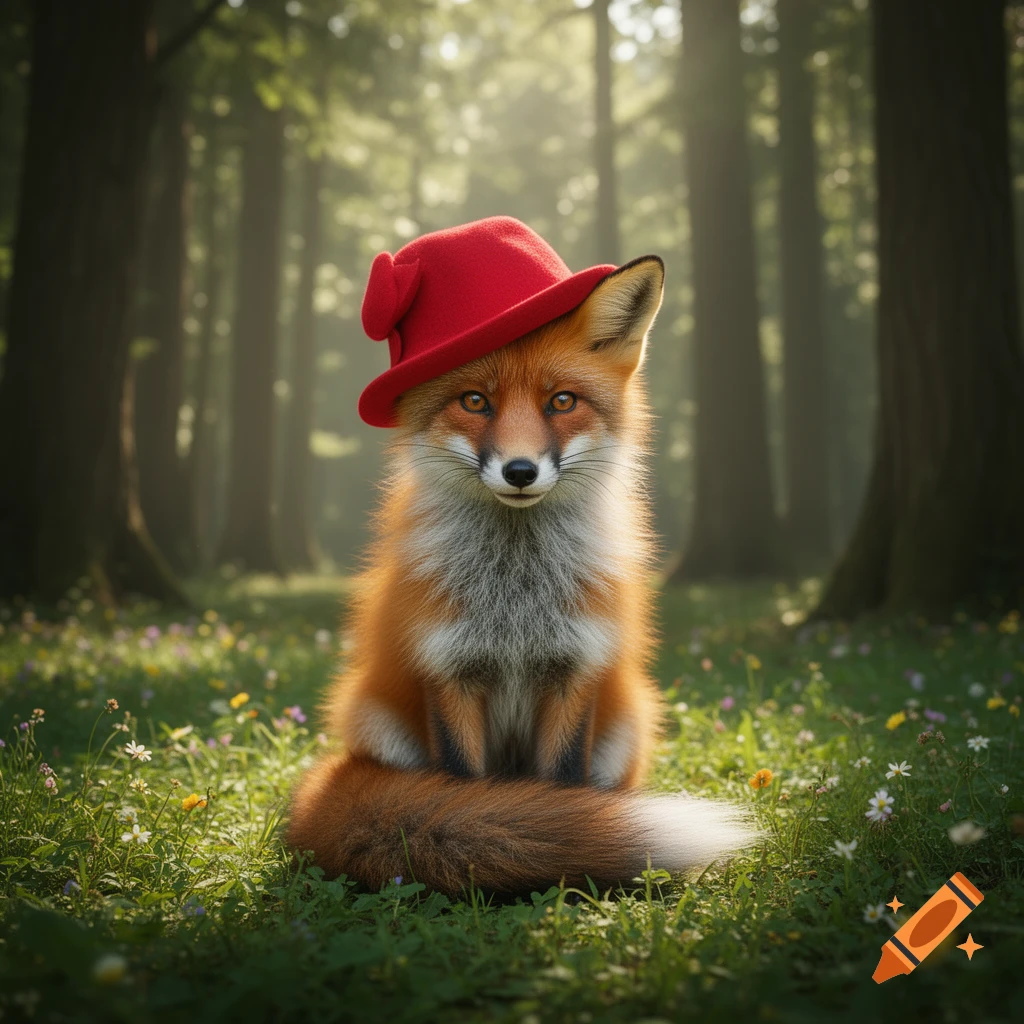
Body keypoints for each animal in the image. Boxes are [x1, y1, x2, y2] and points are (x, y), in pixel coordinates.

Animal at [287, 254, 755, 896]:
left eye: (561, 401)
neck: (516, 596)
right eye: (474, 401)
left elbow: (564, 793)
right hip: (375, 717)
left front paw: (570, 862)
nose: (520, 471)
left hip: (626, 725)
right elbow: (462, 789)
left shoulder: (574, 669)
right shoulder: (449, 672)